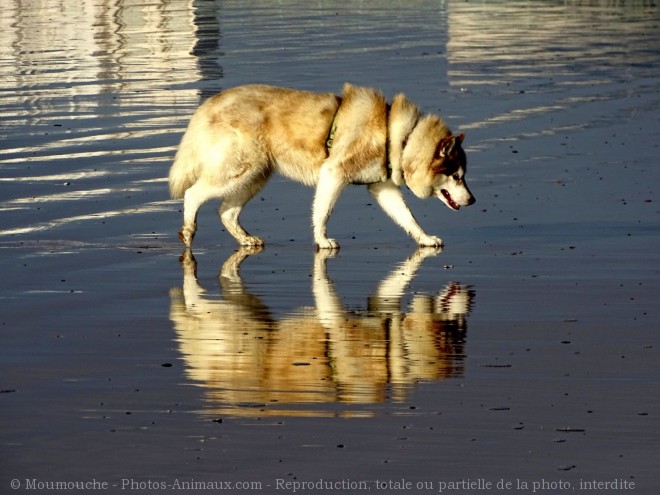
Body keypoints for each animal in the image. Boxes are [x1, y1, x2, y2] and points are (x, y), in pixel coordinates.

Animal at [168, 84, 472, 252]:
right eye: (457, 176)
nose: (473, 200)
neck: (399, 137)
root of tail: (209, 104)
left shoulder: (382, 187)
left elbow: (407, 217)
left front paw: (424, 238)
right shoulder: (333, 174)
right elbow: (322, 213)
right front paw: (322, 240)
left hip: (254, 176)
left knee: (226, 212)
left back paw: (245, 239)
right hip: (239, 170)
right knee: (193, 194)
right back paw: (188, 231)